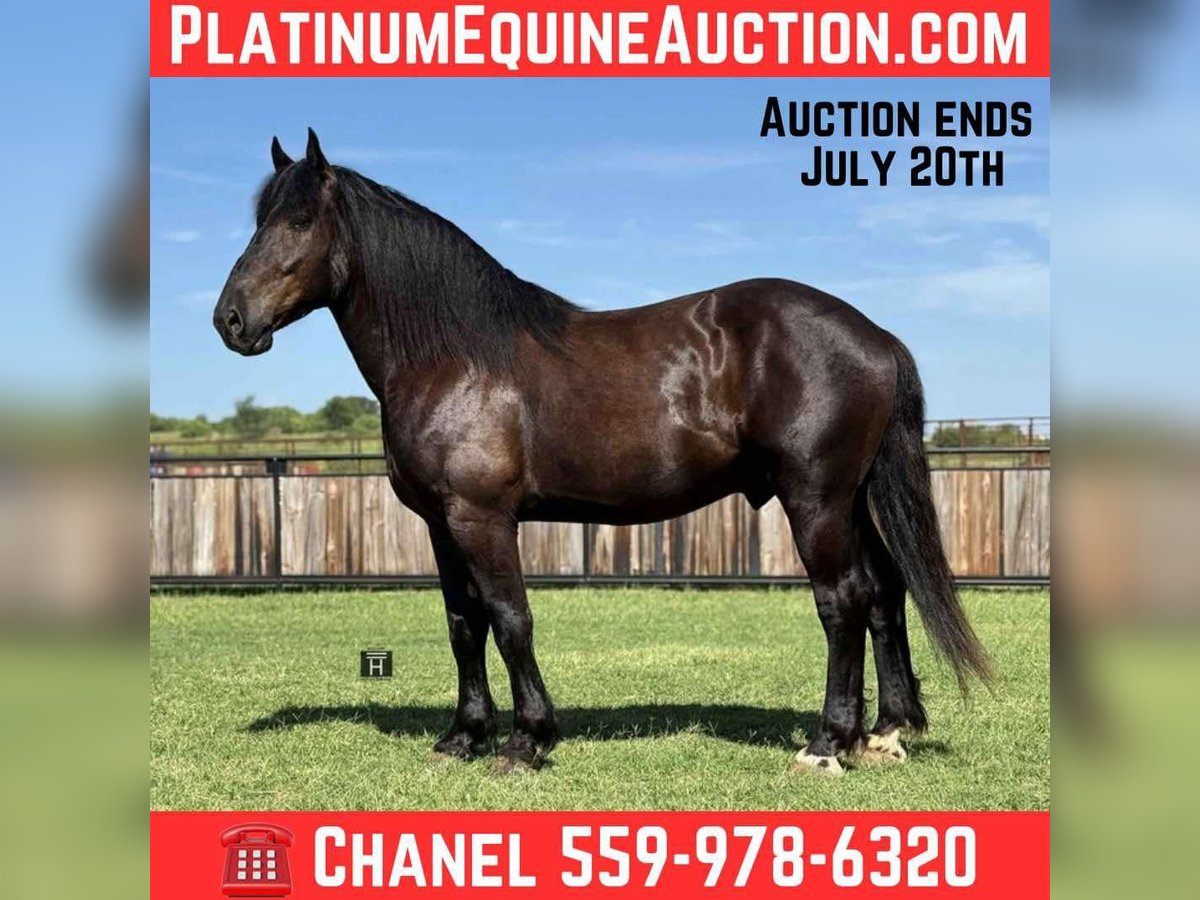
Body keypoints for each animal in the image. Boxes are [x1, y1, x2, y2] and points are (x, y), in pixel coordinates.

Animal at [213, 129, 991, 775]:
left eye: (298, 221)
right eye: (258, 219)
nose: (231, 320)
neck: (455, 358)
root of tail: (875, 337)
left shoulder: (482, 518)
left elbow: (510, 619)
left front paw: (527, 741)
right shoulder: (439, 523)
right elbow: (464, 624)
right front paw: (463, 737)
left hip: (816, 500)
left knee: (843, 600)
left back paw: (828, 744)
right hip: (852, 499)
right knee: (886, 591)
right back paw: (886, 733)